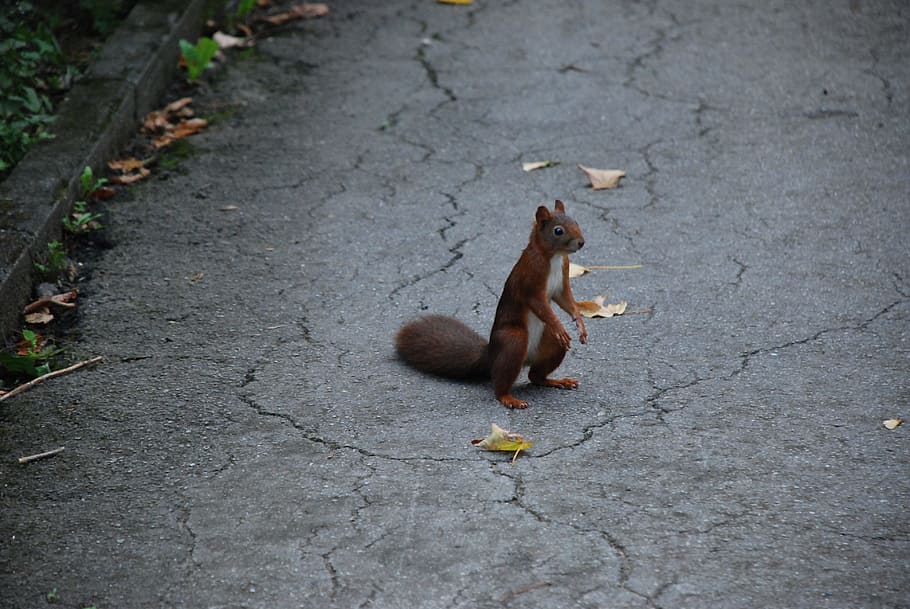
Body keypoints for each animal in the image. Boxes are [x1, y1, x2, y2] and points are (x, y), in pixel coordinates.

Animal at [395, 199, 588, 409]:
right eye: (558, 231)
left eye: (576, 222)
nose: (581, 242)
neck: (553, 257)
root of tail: (491, 354)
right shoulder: (531, 280)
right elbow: (540, 306)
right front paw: (560, 326)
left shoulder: (563, 278)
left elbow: (567, 301)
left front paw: (580, 324)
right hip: (513, 341)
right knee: (501, 383)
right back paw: (509, 398)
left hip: (551, 344)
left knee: (535, 376)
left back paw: (556, 381)